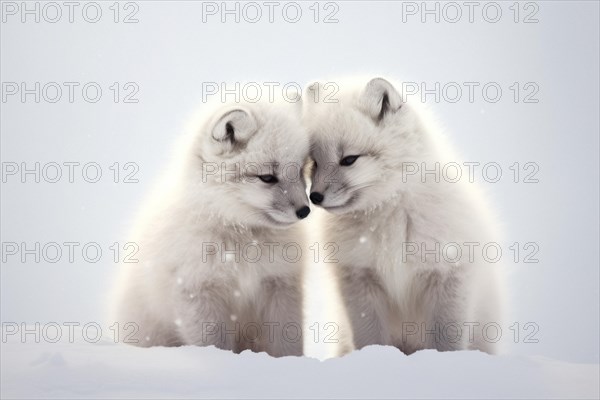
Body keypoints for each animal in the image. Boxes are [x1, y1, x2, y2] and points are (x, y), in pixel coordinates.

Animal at [109, 99, 312, 356]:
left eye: (300, 170)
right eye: (267, 177)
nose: (305, 211)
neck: (241, 237)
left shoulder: (280, 283)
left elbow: (288, 344)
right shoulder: (198, 289)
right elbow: (214, 344)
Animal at [302, 76, 504, 354]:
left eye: (349, 159)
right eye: (315, 162)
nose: (315, 197)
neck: (389, 214)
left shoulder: (448, 273)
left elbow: (447, 341)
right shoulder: (358, 277)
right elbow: (369, 338)